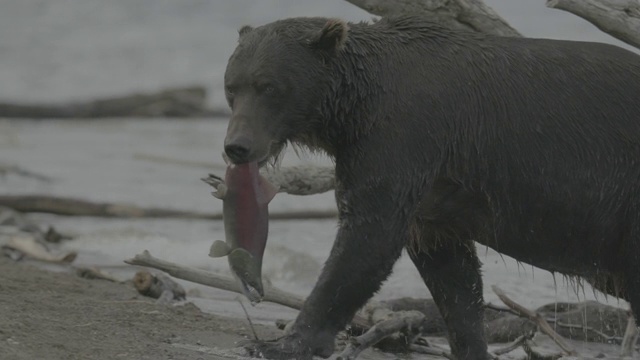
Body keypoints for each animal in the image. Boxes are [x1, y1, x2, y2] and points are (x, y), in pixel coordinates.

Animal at [222, 15, 640, 358]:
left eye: (269, 86)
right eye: (231, 87)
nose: (237, 146)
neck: (353, 108)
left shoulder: (403, 137)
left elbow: (367, 239)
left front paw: (278, 343)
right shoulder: (436, 188)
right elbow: (452, 272)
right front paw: (471, 346)